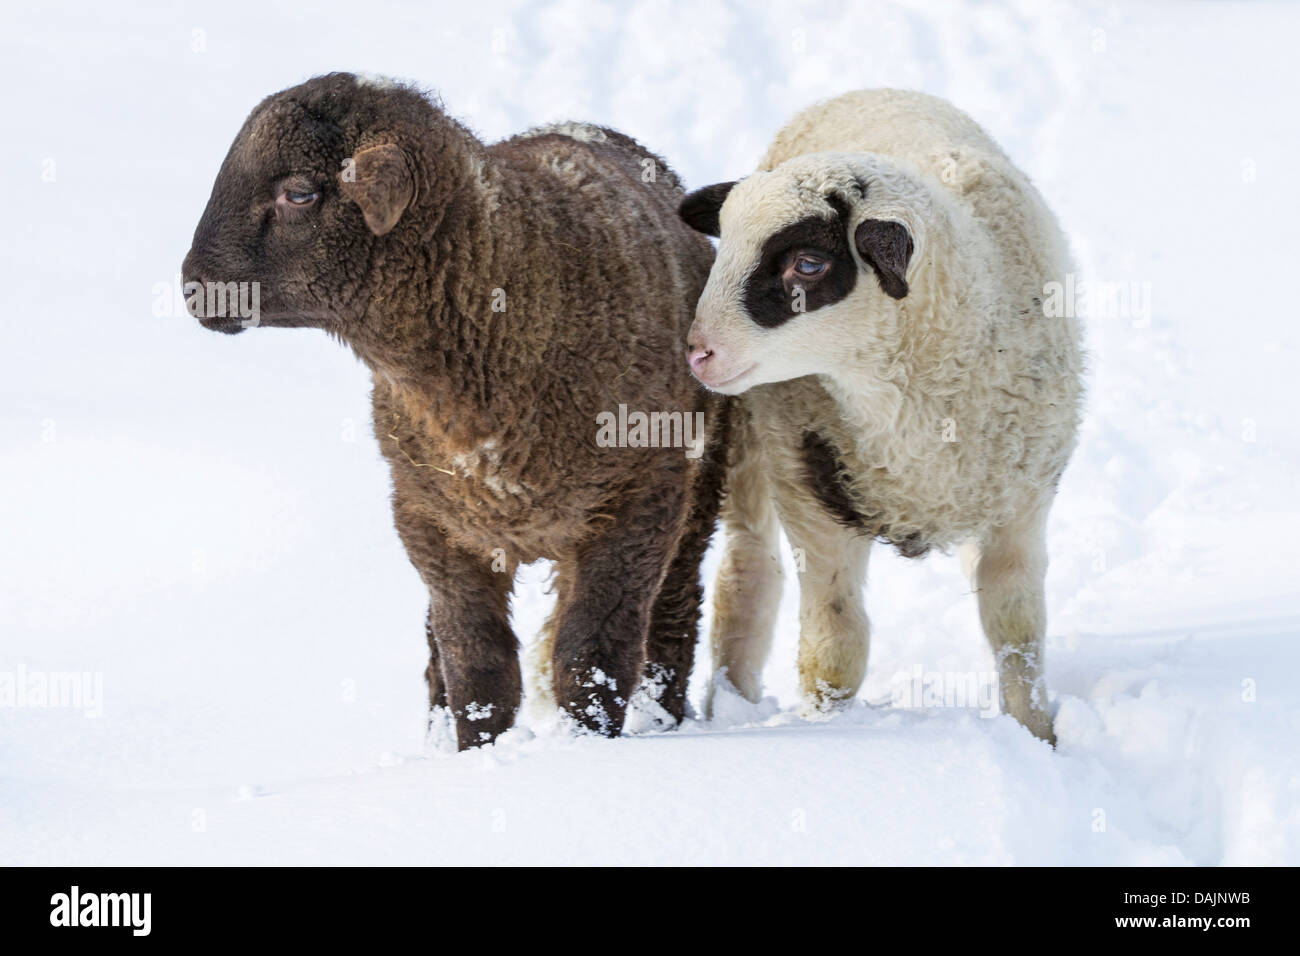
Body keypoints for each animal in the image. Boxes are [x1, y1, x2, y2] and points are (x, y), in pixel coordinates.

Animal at [180, 72, 733, 749]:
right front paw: (475, 753)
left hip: (698, 493)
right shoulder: (431, 521)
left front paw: (586, 748)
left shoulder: (638, 501)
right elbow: (477, 662)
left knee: (675, 611)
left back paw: (663, 718)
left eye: (300, 192)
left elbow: (590, 654)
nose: (194, 286)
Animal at [676, 89, 1081, 743]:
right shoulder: (815, 505)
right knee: (749, 567)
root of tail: (863, 91)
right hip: (754, 443)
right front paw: (828, 732)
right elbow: (834, 651)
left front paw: (1038, 737)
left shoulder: (1021, 505)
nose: (697, 352)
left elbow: (1017, 634)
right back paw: (728, 702)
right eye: (723, 245)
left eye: (807, 265)